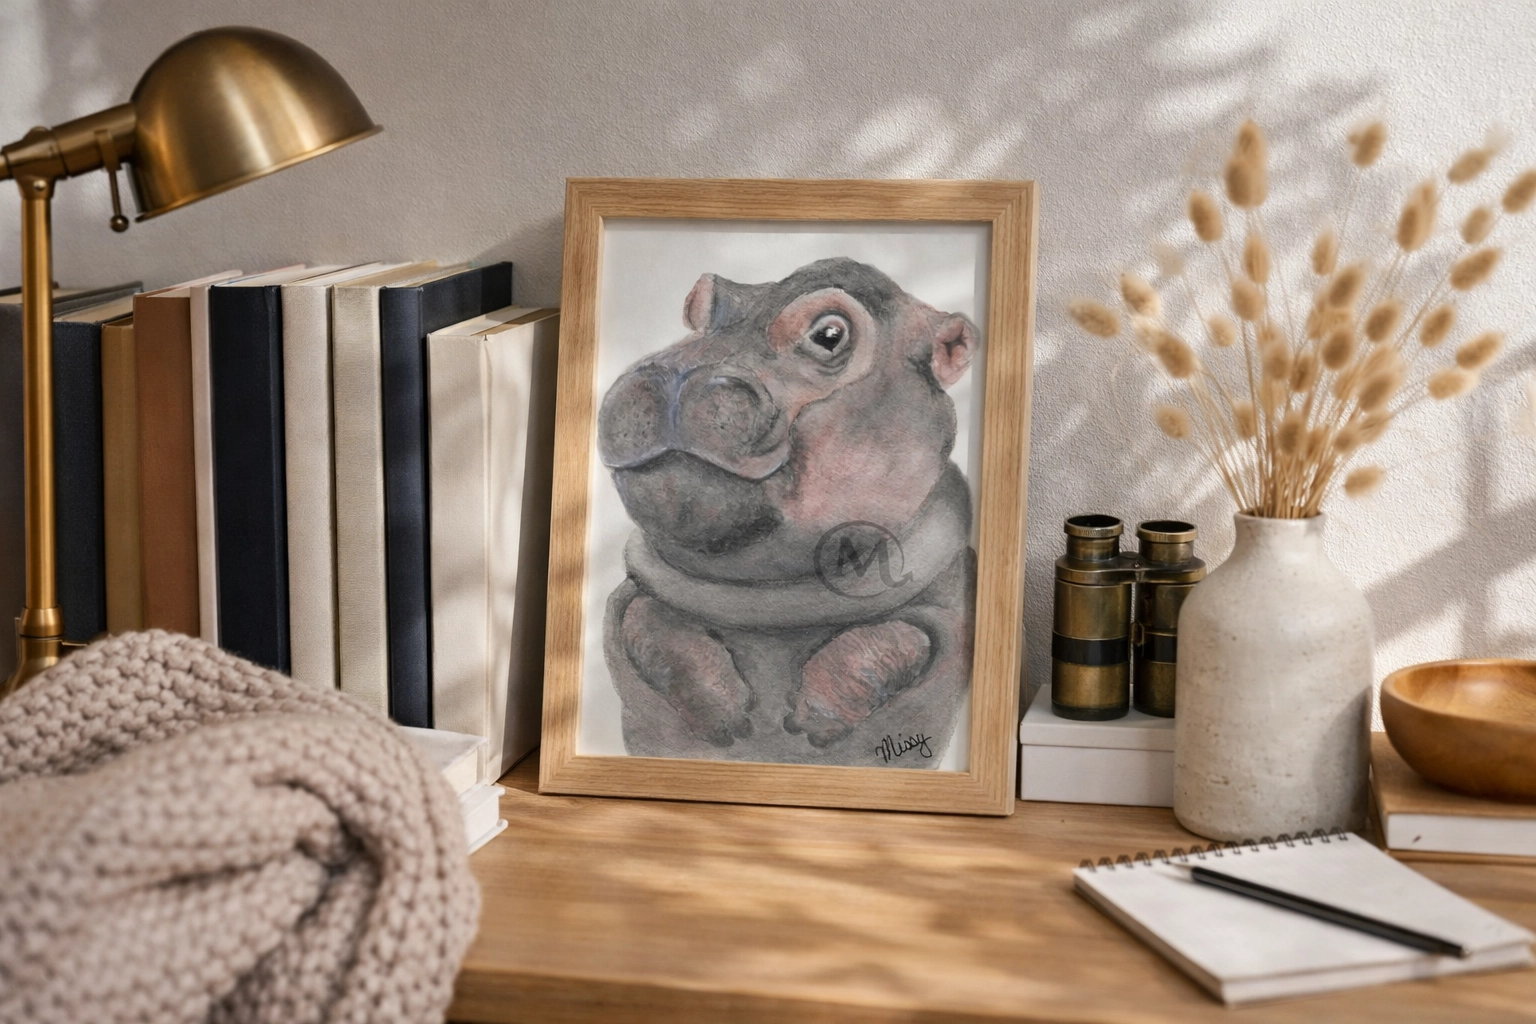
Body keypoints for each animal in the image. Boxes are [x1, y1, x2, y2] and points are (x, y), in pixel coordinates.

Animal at [598, 257, 979, 767]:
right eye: (697, 305)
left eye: (830, 334)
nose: (672, 374)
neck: (764, 599)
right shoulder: (634, 601)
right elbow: (646, 617)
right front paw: (727, 722)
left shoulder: (950, 605)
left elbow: (902, 634)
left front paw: (812, 721)